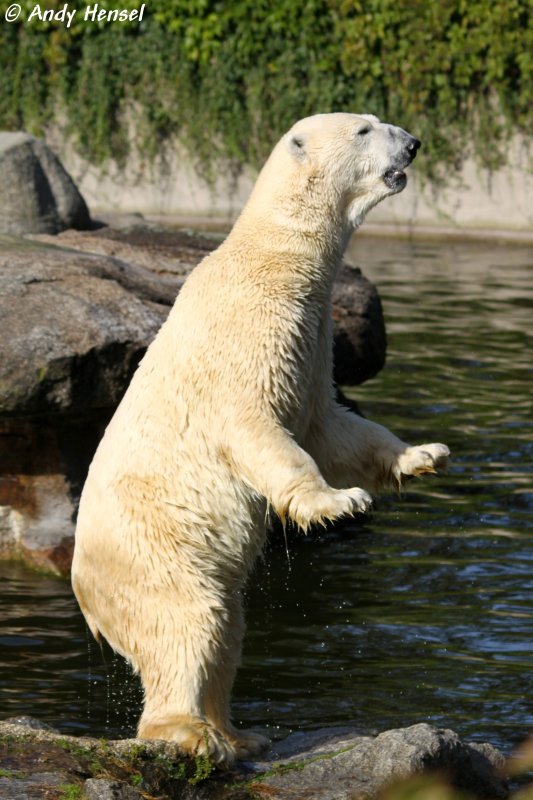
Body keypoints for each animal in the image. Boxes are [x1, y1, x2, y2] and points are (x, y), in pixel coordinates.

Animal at [71, 115, 448, 764]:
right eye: (365, 128)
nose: (413, 143)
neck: (275, 256)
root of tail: (81, 588)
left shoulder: (314, 333)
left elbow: (330, 428)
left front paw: (422, 456)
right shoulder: (255, 324)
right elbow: (257, 427)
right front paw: (339, 503)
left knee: (226, 629)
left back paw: (240, 732)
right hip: (153, 545)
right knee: (185, 620)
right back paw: (191, 733)